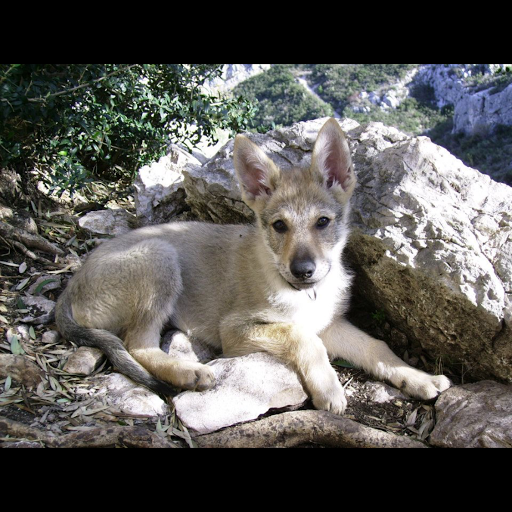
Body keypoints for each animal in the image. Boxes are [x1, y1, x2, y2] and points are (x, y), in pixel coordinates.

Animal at [54, 118, 450, 414]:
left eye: (323, 222)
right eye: (279, 226)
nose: (303, 271)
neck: (303, 294)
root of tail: (70, 288)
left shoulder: (330, 324)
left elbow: (375, 346)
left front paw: (417, 377)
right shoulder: (236, 330)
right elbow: (302, 337)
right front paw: (329, 389)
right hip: (158, 256)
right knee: (137, 345)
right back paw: (188, 373)